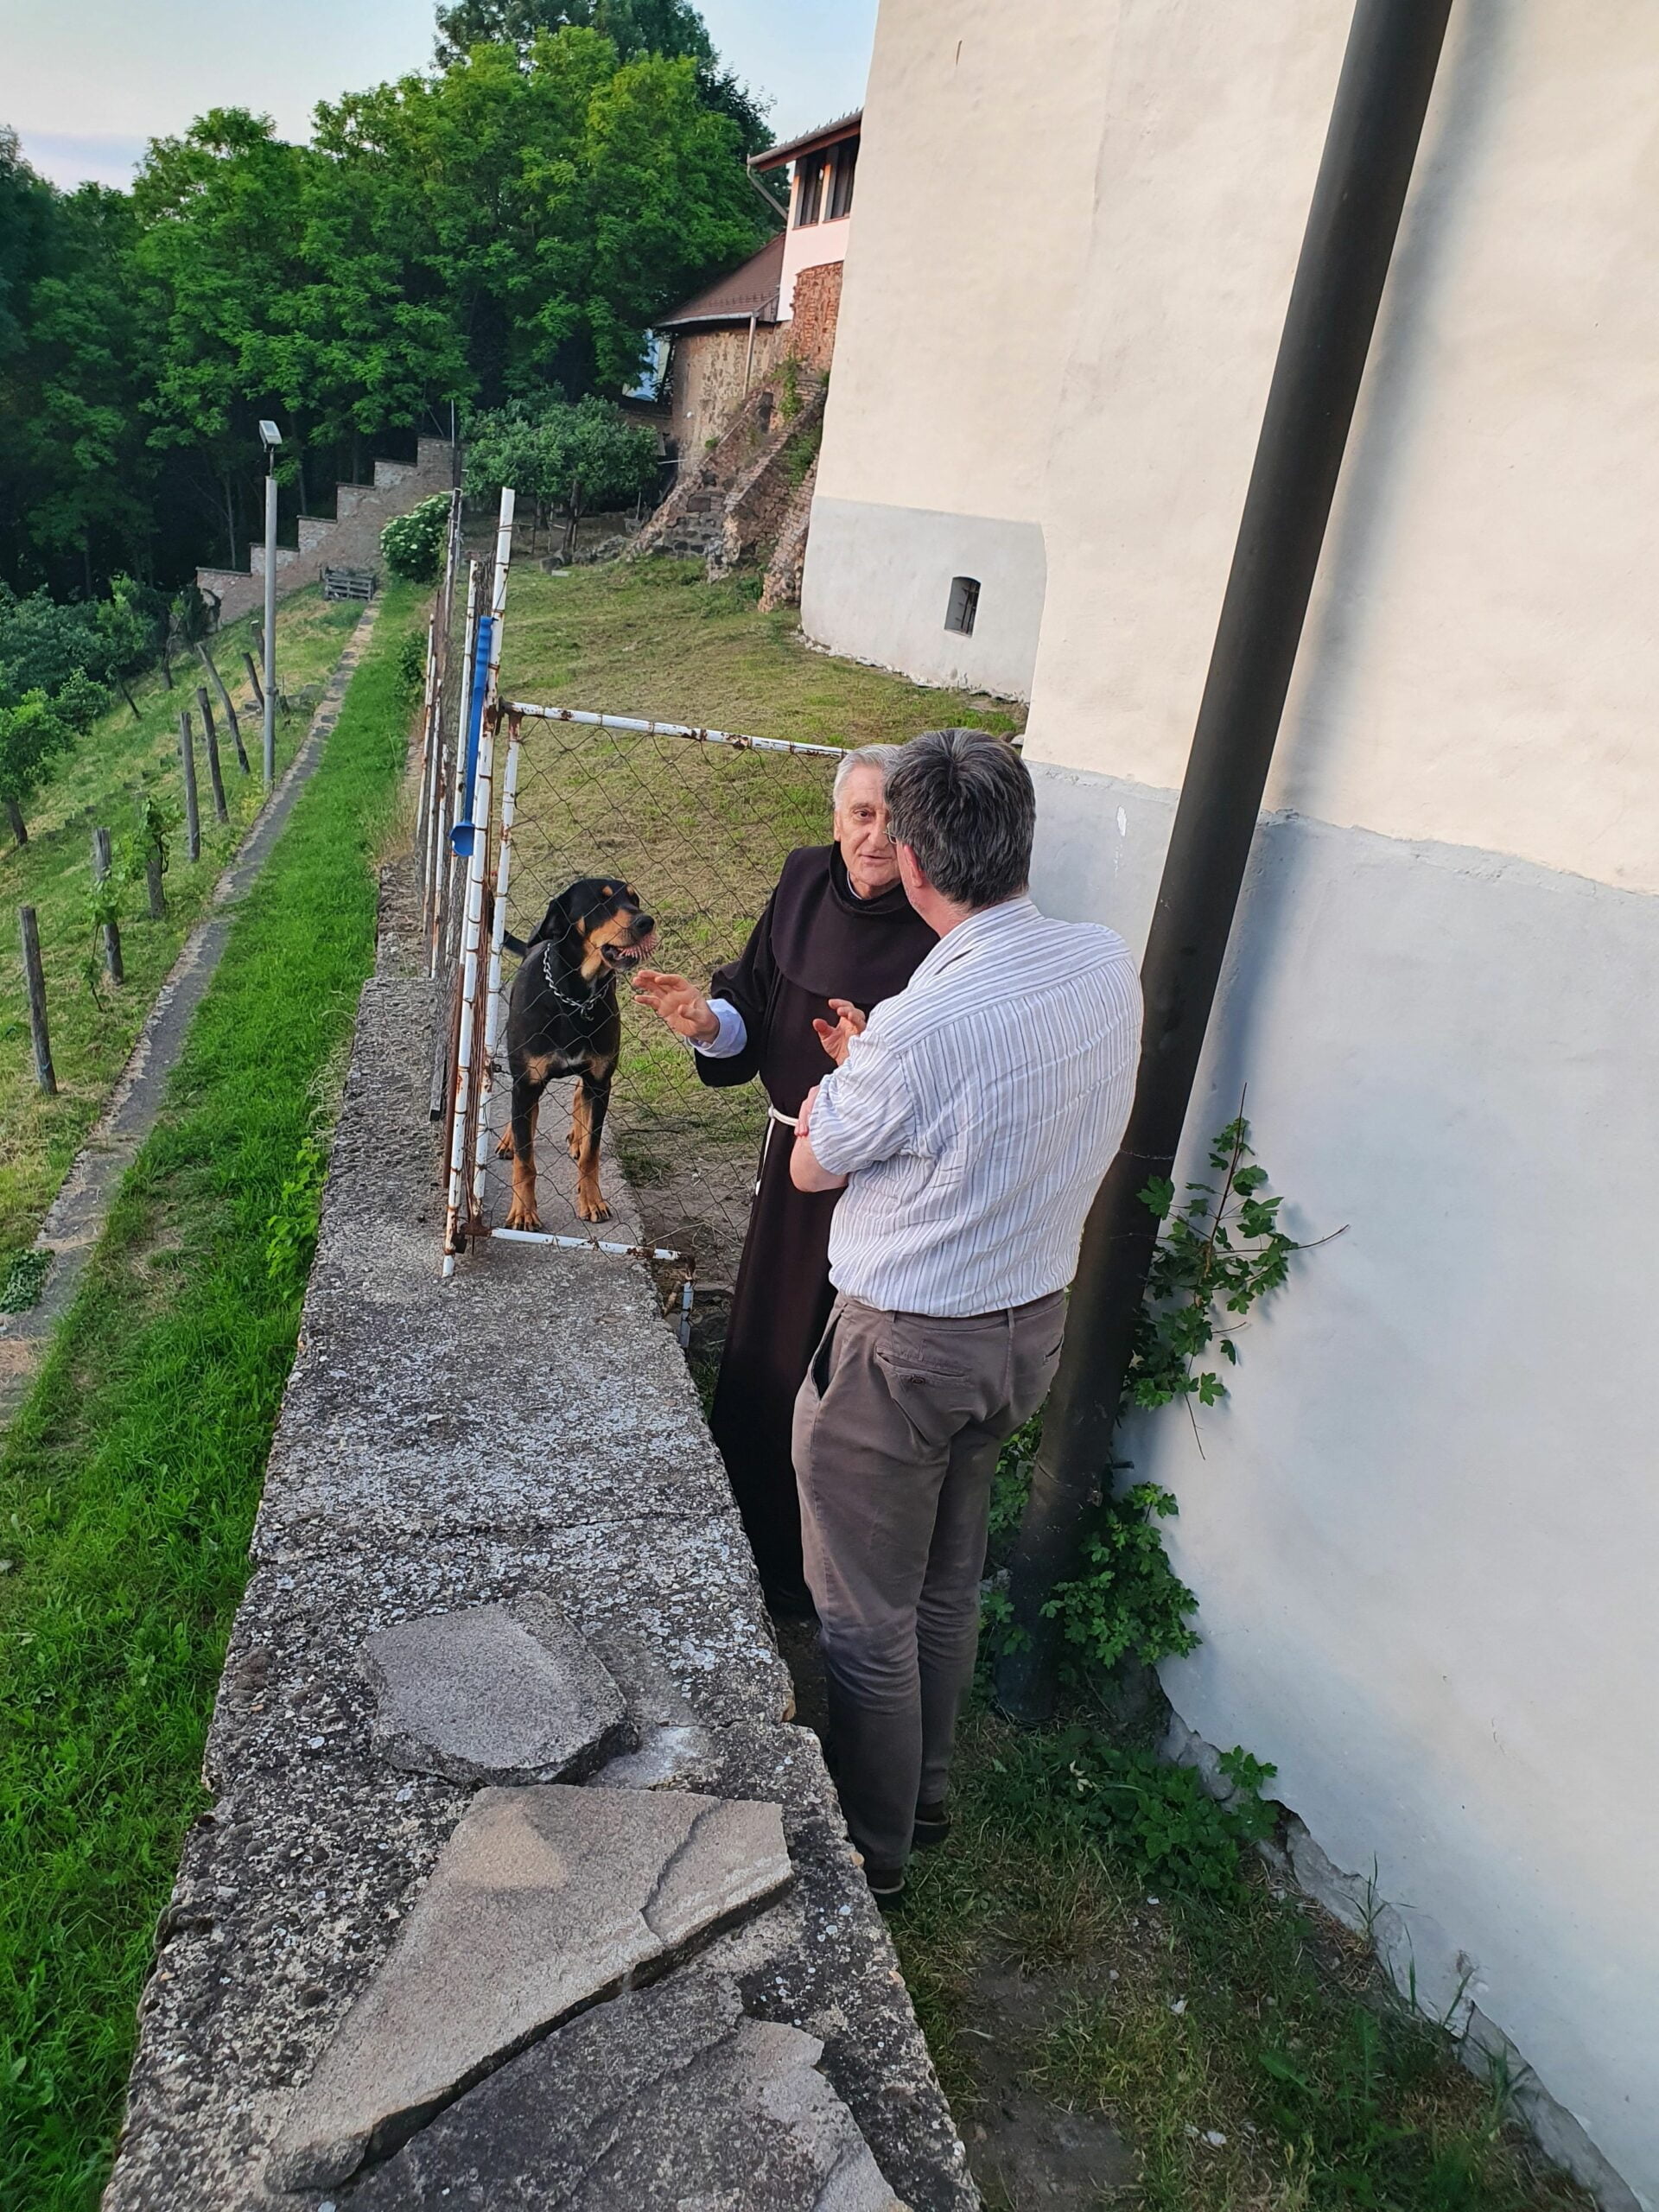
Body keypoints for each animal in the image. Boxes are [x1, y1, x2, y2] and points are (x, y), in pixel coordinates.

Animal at [496, 878, 656, 1229]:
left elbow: (592, 1153)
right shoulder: (527, 1081)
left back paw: (577, 1137)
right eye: (601, 902)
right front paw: (523, 1212)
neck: (575, 996)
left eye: (634, 899)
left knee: (577, 1097)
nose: (646, 922)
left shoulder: (600, 1080)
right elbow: (526, 1161)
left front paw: (592, 1200)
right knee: (524, 1114)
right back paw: (511, 1139)